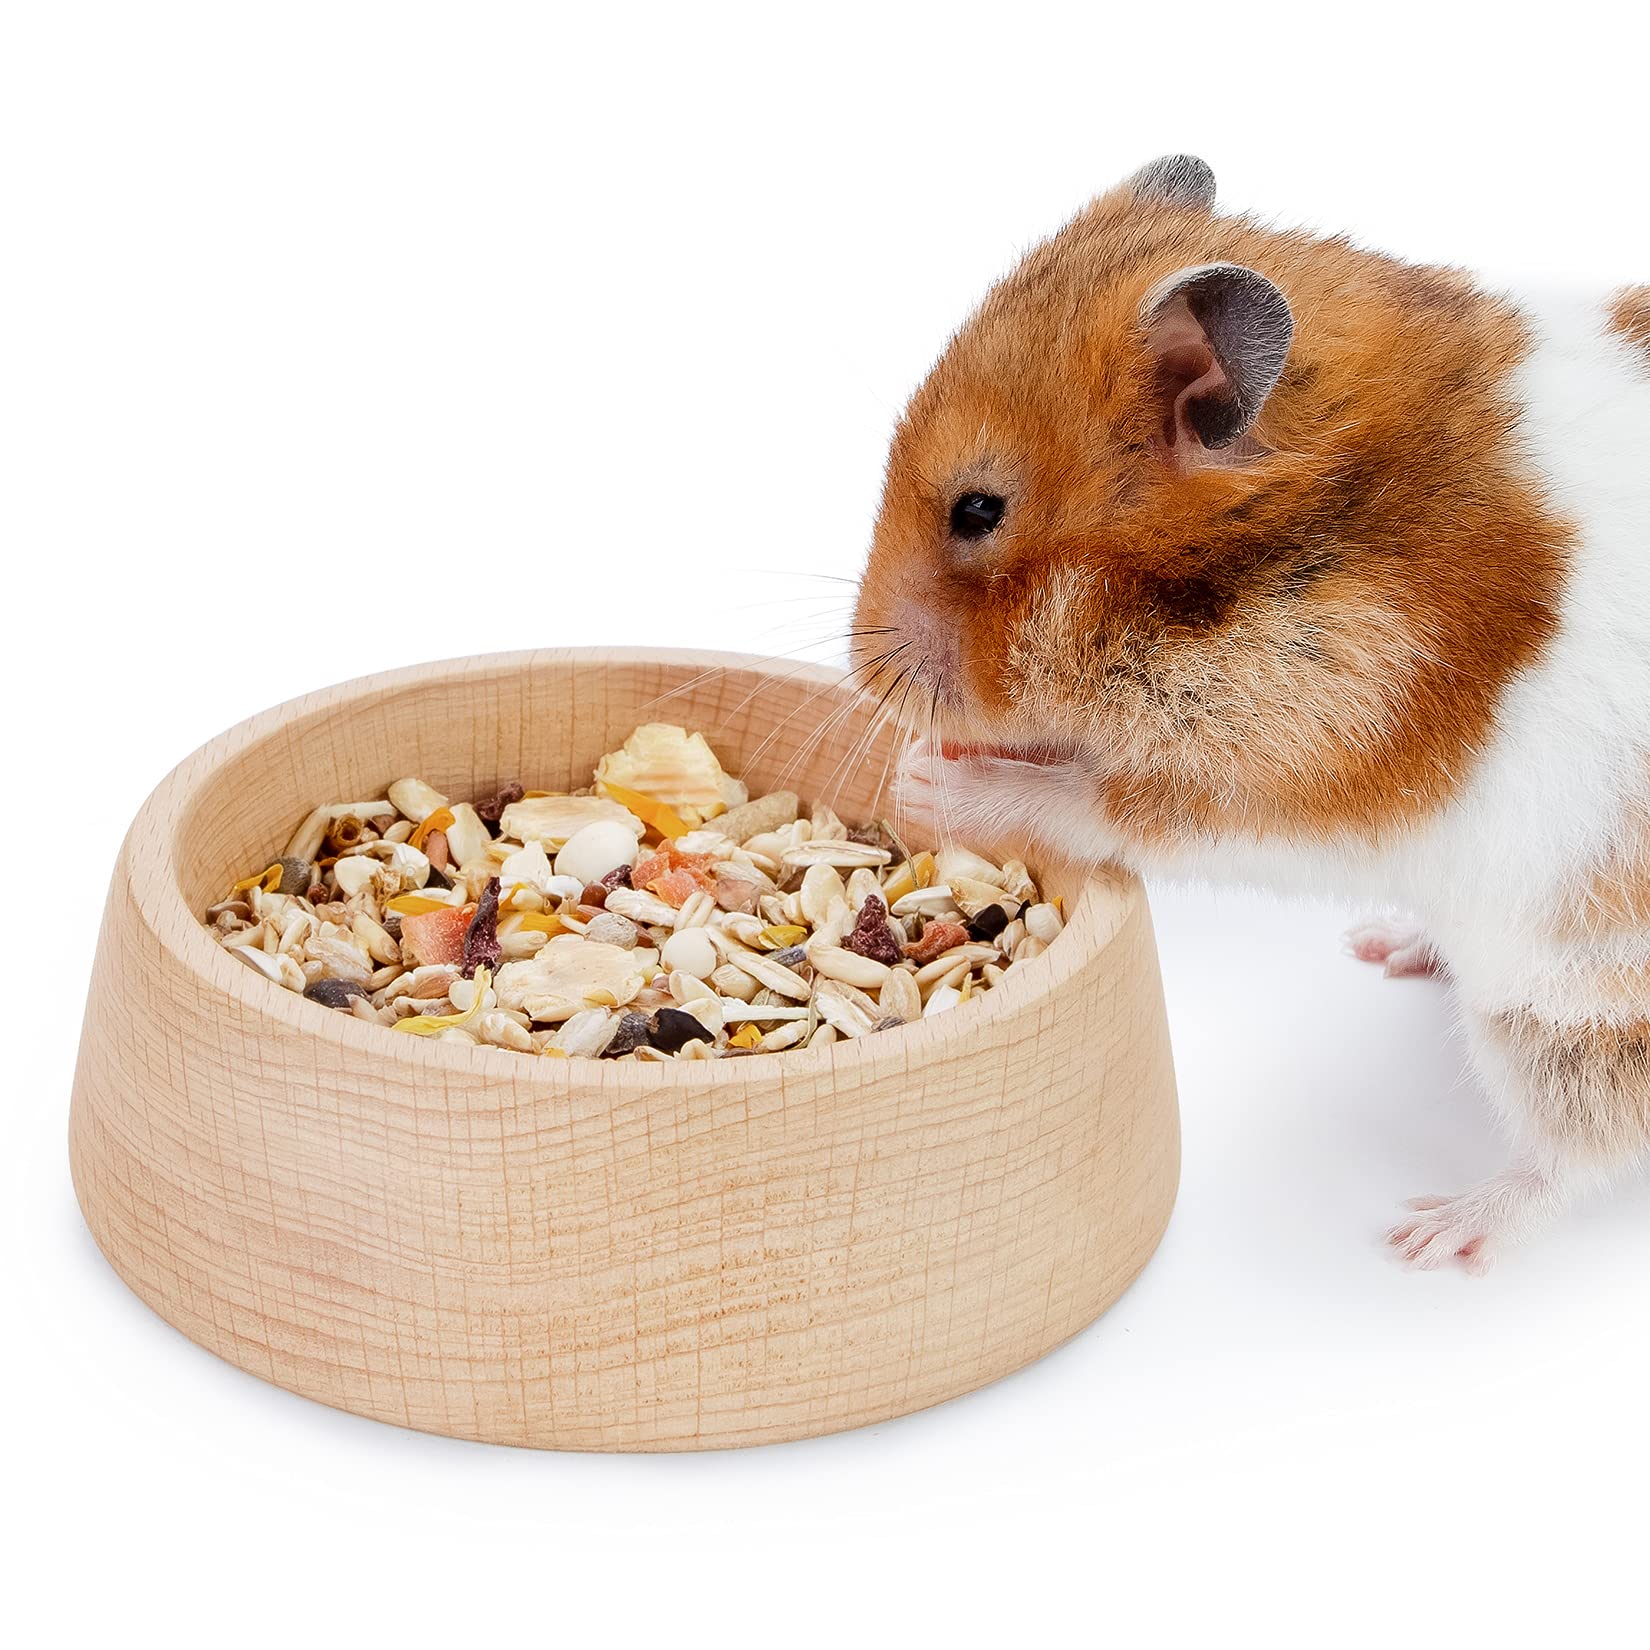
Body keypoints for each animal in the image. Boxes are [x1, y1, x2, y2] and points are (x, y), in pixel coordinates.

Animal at [850, 154, 1650, 1272]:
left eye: (977, 510)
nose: (858, 671)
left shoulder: (1292, 774)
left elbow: (1093, 802)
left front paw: (928, 775)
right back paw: (1390, 948)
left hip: (1573, 1009)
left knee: (1579, 1151)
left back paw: (1432, 1234)